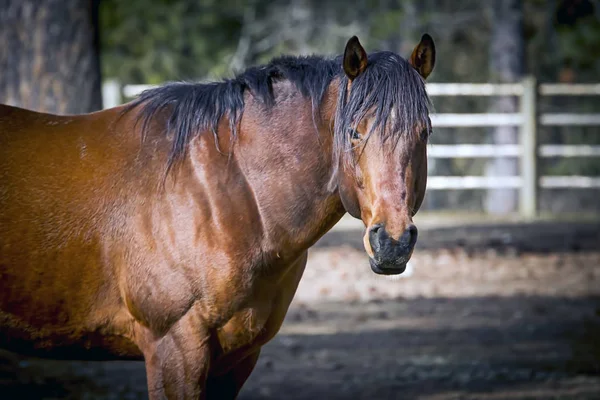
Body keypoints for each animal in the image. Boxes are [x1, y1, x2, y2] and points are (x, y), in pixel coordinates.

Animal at [1, 33, 436, 396]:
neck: (219, 192)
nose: (393, 242)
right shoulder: (173, 348)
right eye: (354, 132)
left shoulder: (236, 357)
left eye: (425, 132)